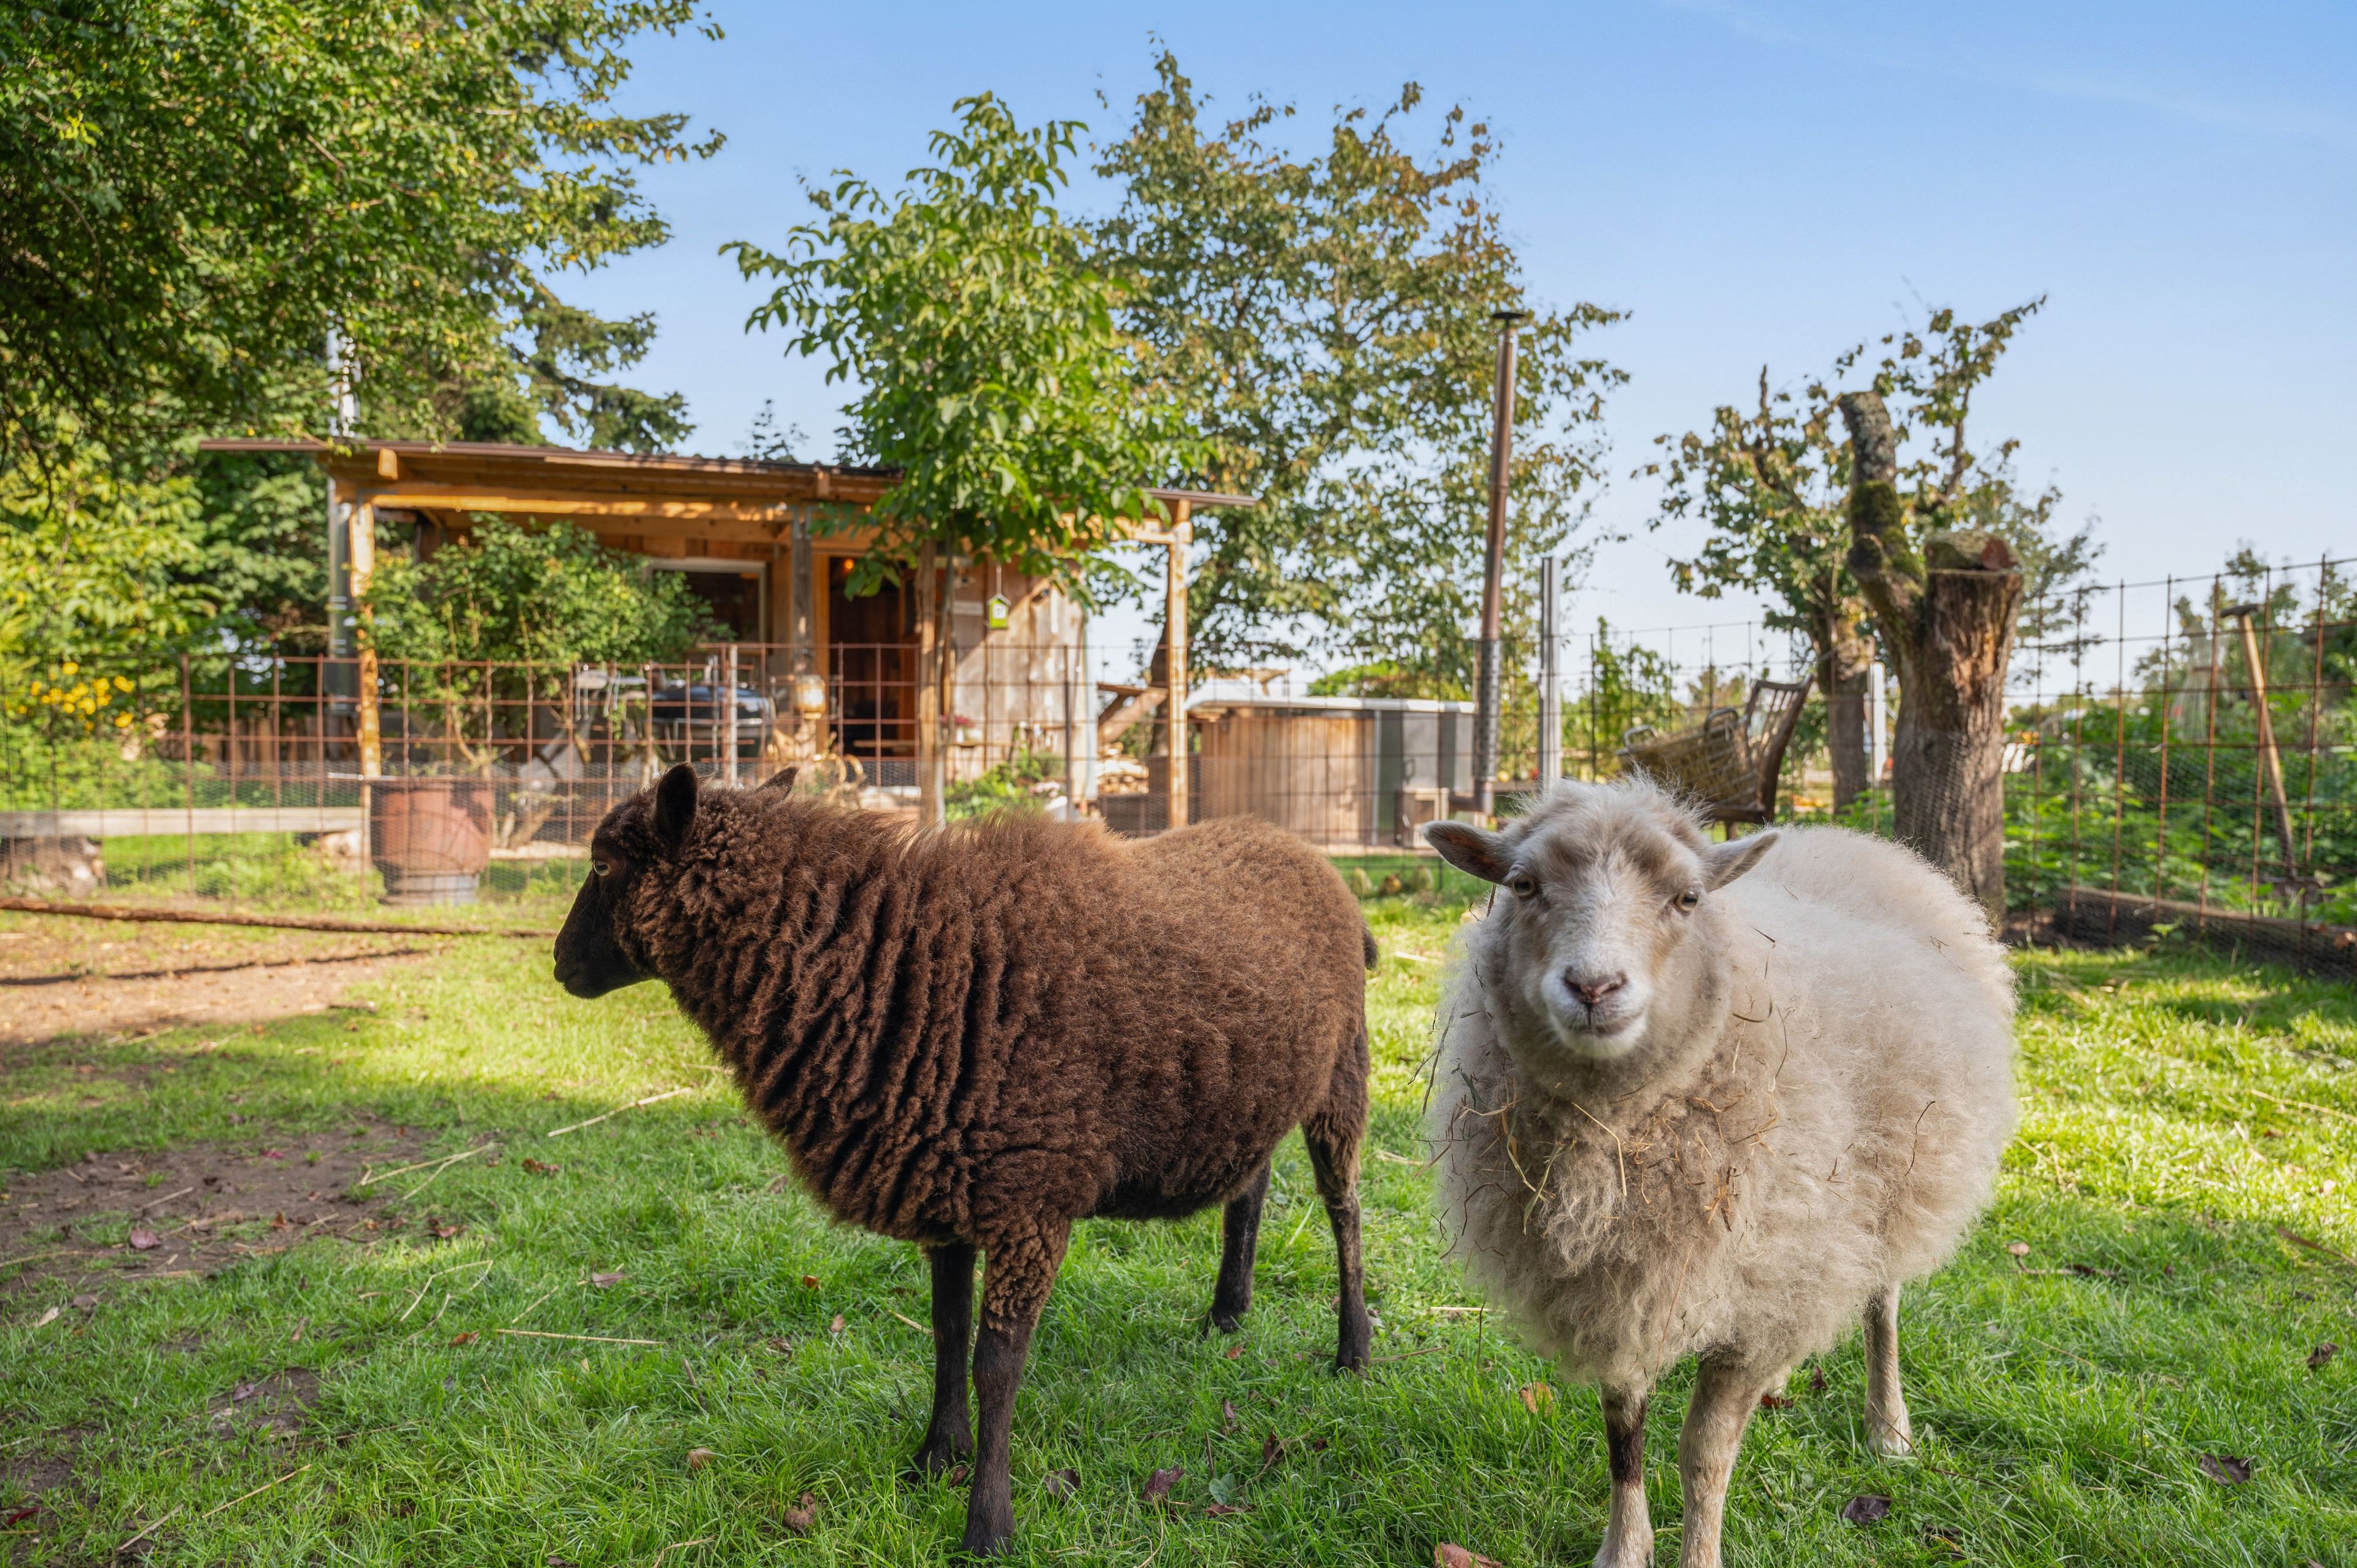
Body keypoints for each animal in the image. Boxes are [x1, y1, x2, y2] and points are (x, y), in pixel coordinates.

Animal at [553, 763, 1375, 1556]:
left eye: (603, 863)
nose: (560, 964)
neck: (903, 968)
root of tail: (1303, 853)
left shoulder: (1029, 1200)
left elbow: (996, 1365)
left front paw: (989, 1524)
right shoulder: (944, 1184)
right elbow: (947, 1334)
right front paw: (934, 1456)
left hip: (1344, 1070)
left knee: (1344, 1209)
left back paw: (1353, 1351)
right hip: (1248, 1094)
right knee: (1251, 1185)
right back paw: (1227, 1310)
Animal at [1422, 779, 2015, 1568]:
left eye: (1687, 898)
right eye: (1523, 885)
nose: (1593, 986)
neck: (1613, 1130)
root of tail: (1855, 840)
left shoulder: (1745, 1288)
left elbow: (1704, 1455)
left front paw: (1696, 1550)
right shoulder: (1621, 1282)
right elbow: (1623, 1433)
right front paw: (1623, 1547)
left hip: (1888, 1182)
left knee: (1882, 1304)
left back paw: (1888, 1426)